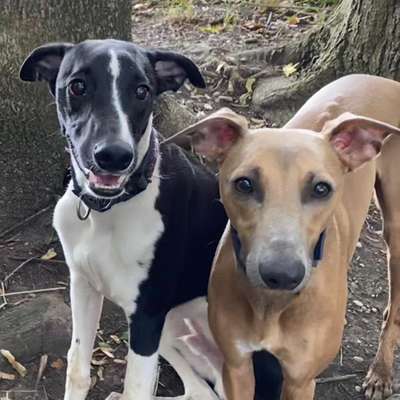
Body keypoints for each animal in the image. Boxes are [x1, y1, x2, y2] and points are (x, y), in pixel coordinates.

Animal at [20, 39, 227, 400]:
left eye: (143, 91)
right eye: (77, 86)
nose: (114, 156)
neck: (105, 211)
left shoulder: (146, 317)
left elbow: (136, 389)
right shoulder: (83, 285)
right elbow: (77, 368)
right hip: (170, 329)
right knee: (199, 390)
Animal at [170, 75, 400, 400]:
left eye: (321, 188)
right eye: (244, 184)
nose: (281, 275)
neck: (271, 305)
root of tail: (382, 79)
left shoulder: (300, 380)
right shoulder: (236, 365)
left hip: (396, 231)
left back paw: (381, 372)